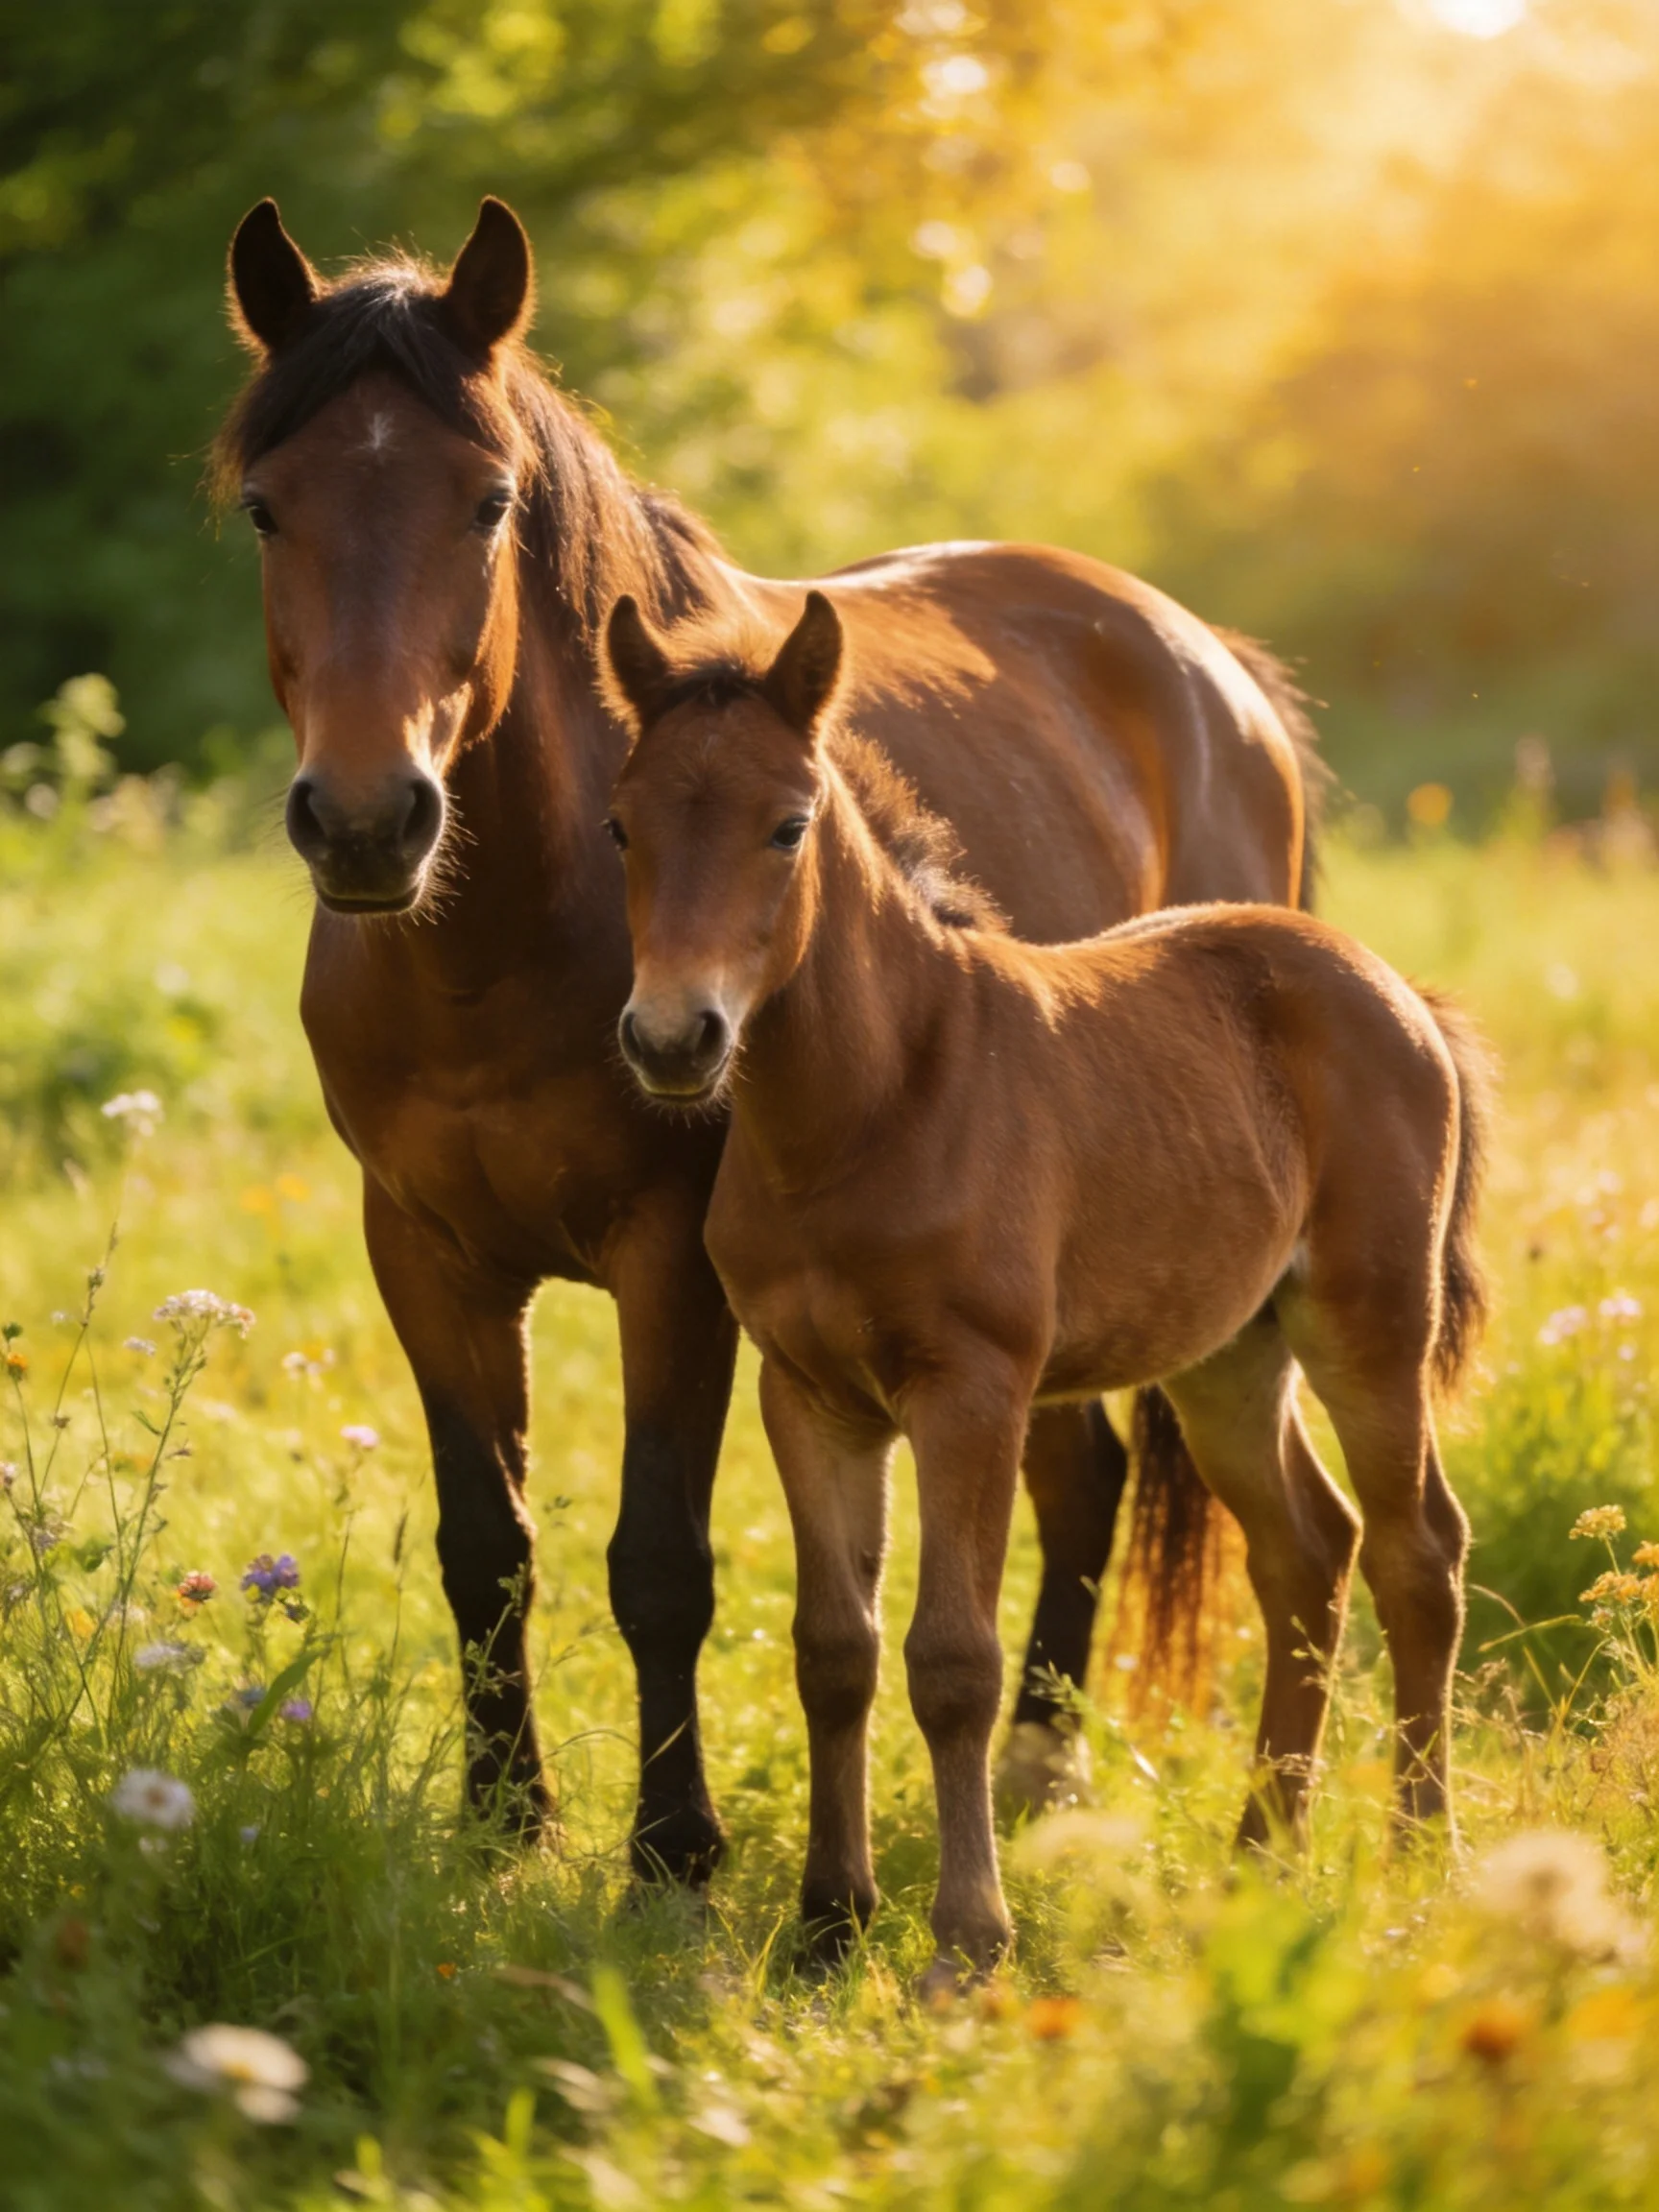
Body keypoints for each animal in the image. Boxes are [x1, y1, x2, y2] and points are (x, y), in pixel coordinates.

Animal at [216, 192, 1327, 1882]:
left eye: (488, 503)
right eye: (270, 510)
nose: (363, 819)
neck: (501, 944)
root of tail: (1207, 663)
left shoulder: (673, 1255)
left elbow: (659, 1558)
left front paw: (674, 1848)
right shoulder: (421, 1249)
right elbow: (486, 1547)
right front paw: (505, 1818)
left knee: (1092, 1479)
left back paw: (1043, 1765)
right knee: (1079, 1468)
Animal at [602, 588, 1488, 1984]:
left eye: (787, 826)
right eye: (621, 826)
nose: (673, 1039)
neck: (871, 1104)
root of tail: (1395, 986)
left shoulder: (973, 1391)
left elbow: (952, 1660)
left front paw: (967, 1941)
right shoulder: (809, 1395)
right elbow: (834, 1649)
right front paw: (828, 1921)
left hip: (1370, 1327)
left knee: (1418, 1552)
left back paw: (1417, 1856)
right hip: (1230, 1356)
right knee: (1307, 1549)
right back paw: (1259, 1858)